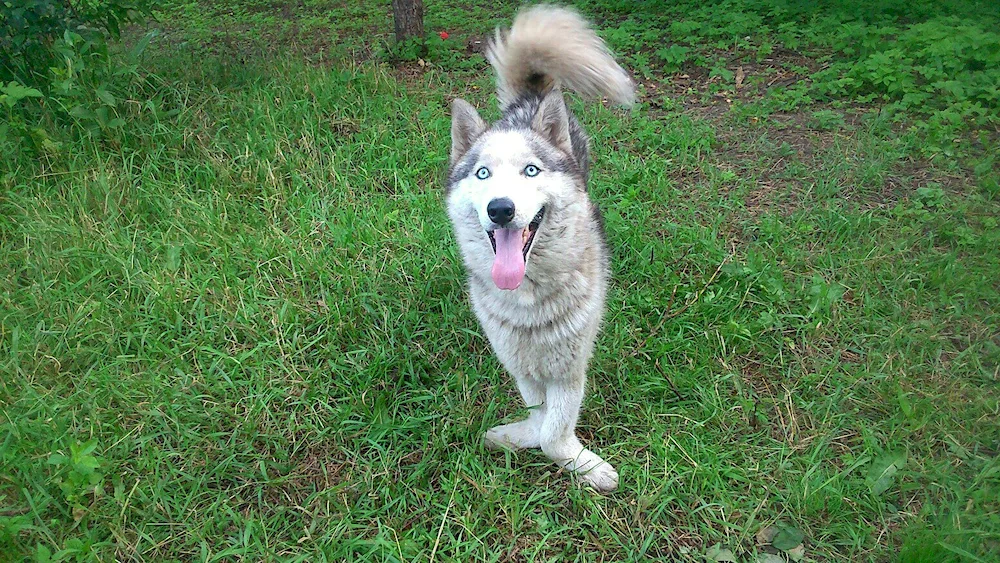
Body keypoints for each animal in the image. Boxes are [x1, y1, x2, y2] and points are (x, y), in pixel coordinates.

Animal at [446, 4, 632, 492]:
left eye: (531, 170)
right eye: (483, 174)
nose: (501, 209)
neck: (529, 302)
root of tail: (526, 103)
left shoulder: (570, 370)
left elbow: (553, 433)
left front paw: (585, 466)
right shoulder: (522, 366)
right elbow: (540, 418)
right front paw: (518, 435)